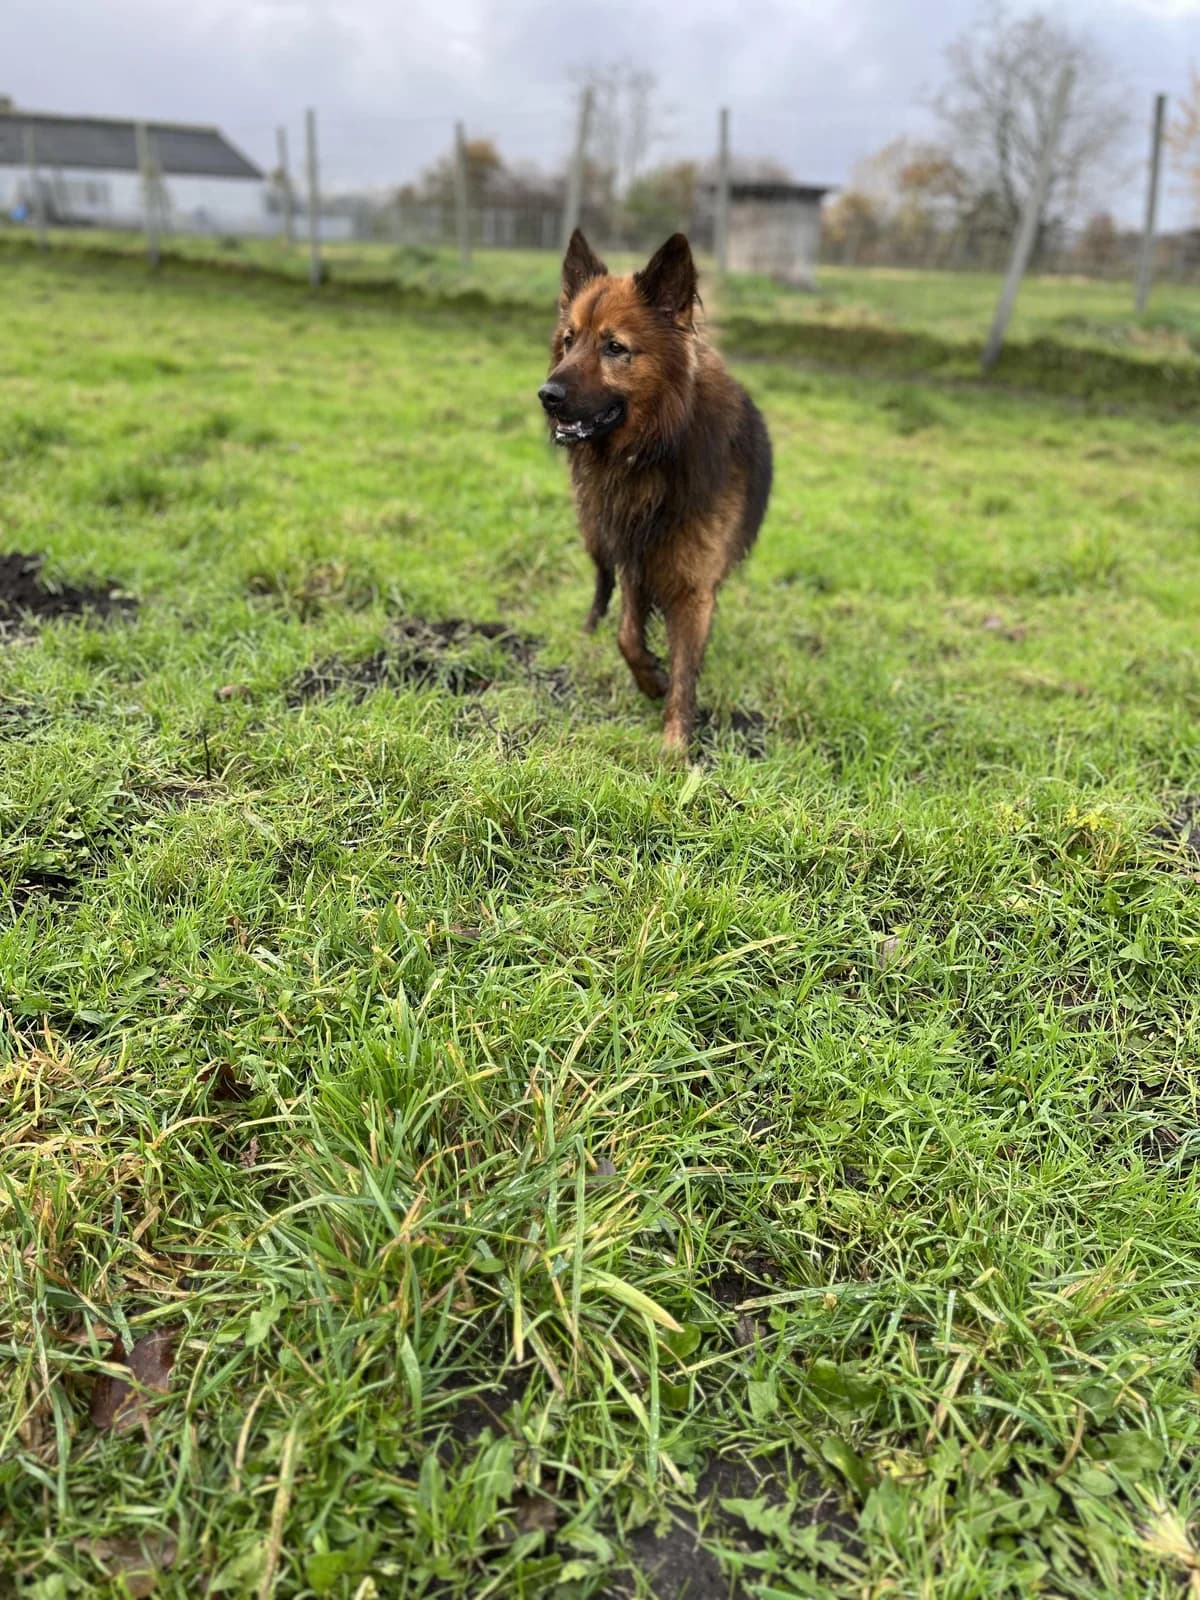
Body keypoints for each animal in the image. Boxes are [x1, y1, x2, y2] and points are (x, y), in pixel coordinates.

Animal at [538, 229, 772, 753]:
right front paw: (650, 678)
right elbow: (627, 633)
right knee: (600, 583)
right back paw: (587, 630)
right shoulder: (633, 556)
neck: (655, 449)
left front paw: (674, 746)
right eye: (569, 340)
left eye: (615, 347)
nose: (547, 396)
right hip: (596, 533)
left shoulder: (693, 583)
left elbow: (685, 668)